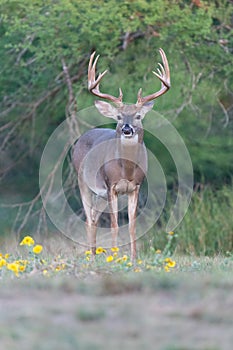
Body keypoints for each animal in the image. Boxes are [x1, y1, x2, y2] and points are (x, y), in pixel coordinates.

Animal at [73, 48, 171, 260]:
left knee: (94, 218)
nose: (127, 129)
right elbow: (115, 225)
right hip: (83, 182)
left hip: (100, 195)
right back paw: (91, 256)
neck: (126, 169)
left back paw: (94, 253)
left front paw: (134, 258)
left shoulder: (136, 187)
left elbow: (132, 226)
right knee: (88, 219)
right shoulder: (111, 186)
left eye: (138, 116)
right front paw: (115, 256)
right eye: (118, 116)